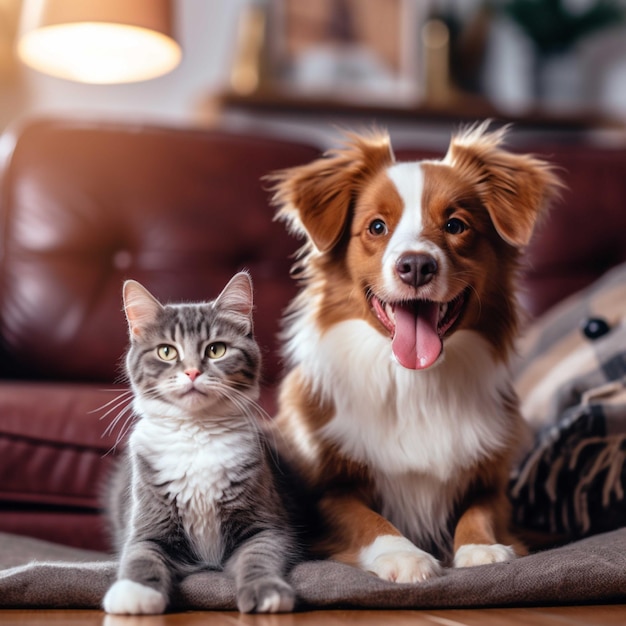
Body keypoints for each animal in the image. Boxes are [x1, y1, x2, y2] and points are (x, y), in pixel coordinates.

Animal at [102, 270, 298, 612]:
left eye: (216, 349)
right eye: (166, 351)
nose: (192, 372)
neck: (197, 432)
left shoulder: (268, 522)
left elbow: (259, 555)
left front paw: (266, 591)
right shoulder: (148, 522)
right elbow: (140, 555)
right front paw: (134, 593)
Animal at [266, 122, 560, 580]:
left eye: (456, 225)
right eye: (376, 227)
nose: (416, 265)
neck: (412, 381)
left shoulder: (492, 481)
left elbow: (479, 511)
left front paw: (482, 547)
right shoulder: (327, 491)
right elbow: (367, 519)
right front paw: (403, 554)